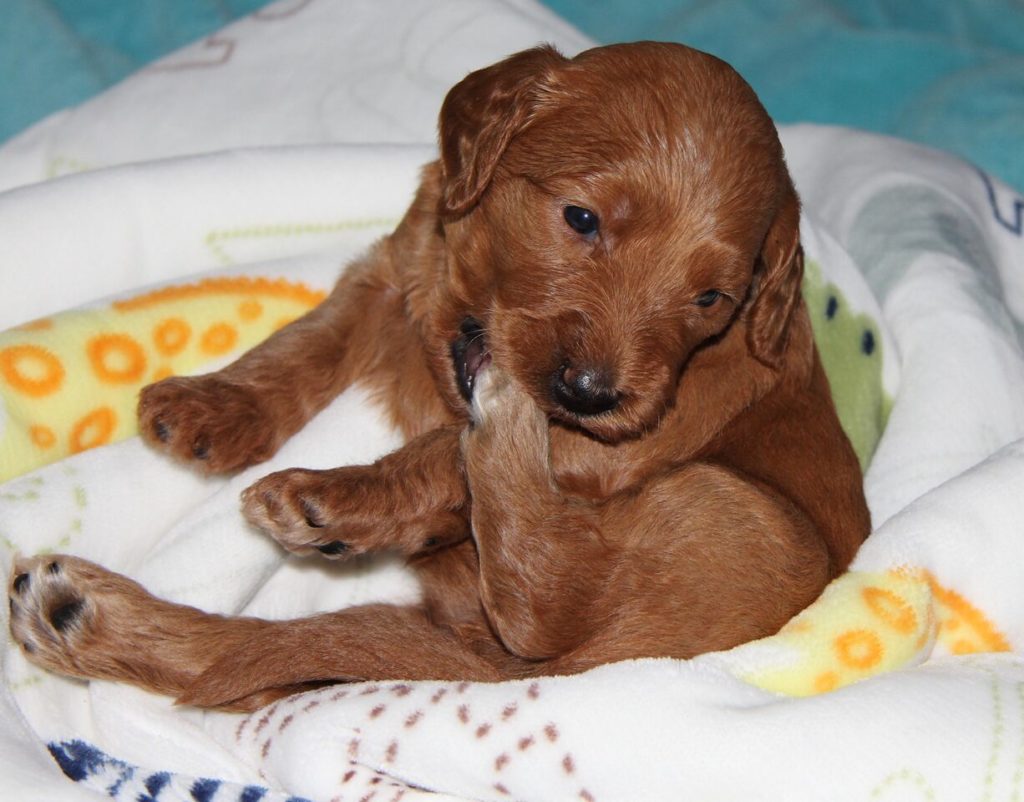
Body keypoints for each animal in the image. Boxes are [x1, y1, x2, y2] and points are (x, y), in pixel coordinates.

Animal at [8, 42, 872, 716]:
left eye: (711, 299)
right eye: (581, 219)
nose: (590, 393)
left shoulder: (627, 439)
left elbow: (436, 454)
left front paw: (339, 493)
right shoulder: (393, 267)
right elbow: (308, 340)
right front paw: (214, 404)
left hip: (748, 520)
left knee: (540, 603)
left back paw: (494, 434)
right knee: (262, 659)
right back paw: (79, 615)